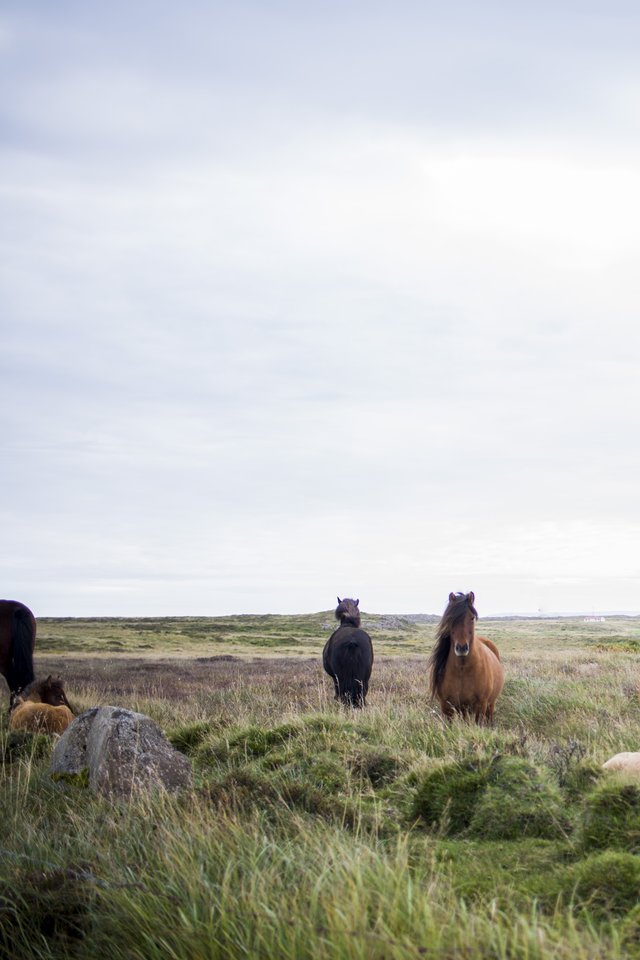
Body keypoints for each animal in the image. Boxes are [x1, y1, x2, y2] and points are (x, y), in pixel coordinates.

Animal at [428, 591, 504, 724]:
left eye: (472, 618)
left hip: (490, 705)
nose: (462, 648)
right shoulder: (446, 708)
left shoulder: (481, 706)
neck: (462, 670)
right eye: (450, 619)